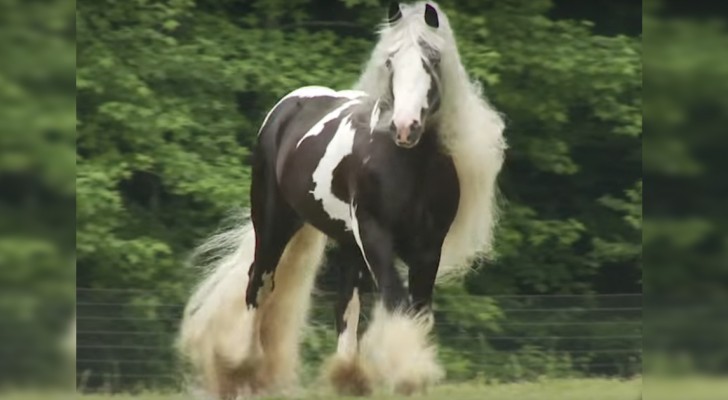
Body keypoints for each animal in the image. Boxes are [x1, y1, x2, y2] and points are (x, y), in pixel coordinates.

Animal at [177, 2, 506, 396]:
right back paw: (242, 368)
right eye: (390, 61)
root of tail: (288, 106)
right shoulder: (376, 235)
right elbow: (396, 298)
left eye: (433, 58)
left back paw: (348, 376)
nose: (405, 127)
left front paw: (411, 371)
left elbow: (418, 308)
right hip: (273, 222)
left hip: (348, 242)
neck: (408, 164)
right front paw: (408, 372)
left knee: (344, 303)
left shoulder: (428, 246)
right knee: (259, 282)